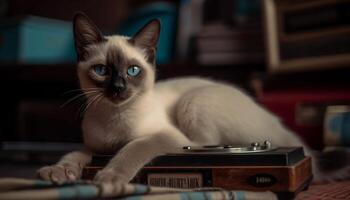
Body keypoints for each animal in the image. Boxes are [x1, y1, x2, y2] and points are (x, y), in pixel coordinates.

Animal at [37, 12, 348, 184]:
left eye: (132, 70)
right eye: (102, 70)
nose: (118, 88)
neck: (114, 117)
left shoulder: (165, 137)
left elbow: (131, 149)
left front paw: (109, 178)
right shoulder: (94, 147)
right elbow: (73, 154)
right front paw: (57, 172)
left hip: (195, 104)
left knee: (203, 144)